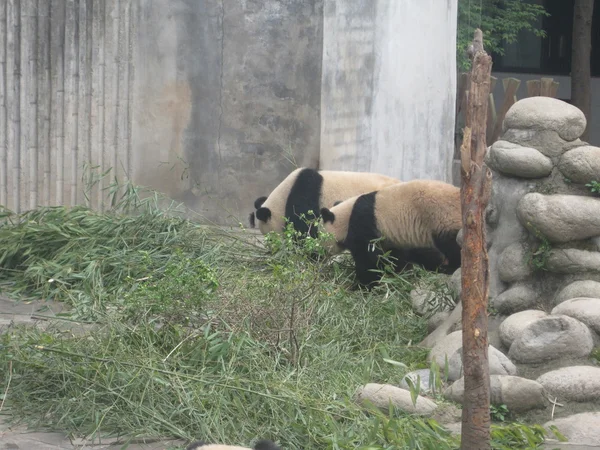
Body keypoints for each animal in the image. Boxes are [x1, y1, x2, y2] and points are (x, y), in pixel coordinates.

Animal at [322, 178, 462, 286]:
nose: (316, 255)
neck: (347, 215)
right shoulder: (393, 237)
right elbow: (395, 256)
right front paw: (398, 272)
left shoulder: (363, 224)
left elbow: (368, 258)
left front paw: (363, 285)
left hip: (442, 217)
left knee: (452, 245)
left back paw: (451, 267)